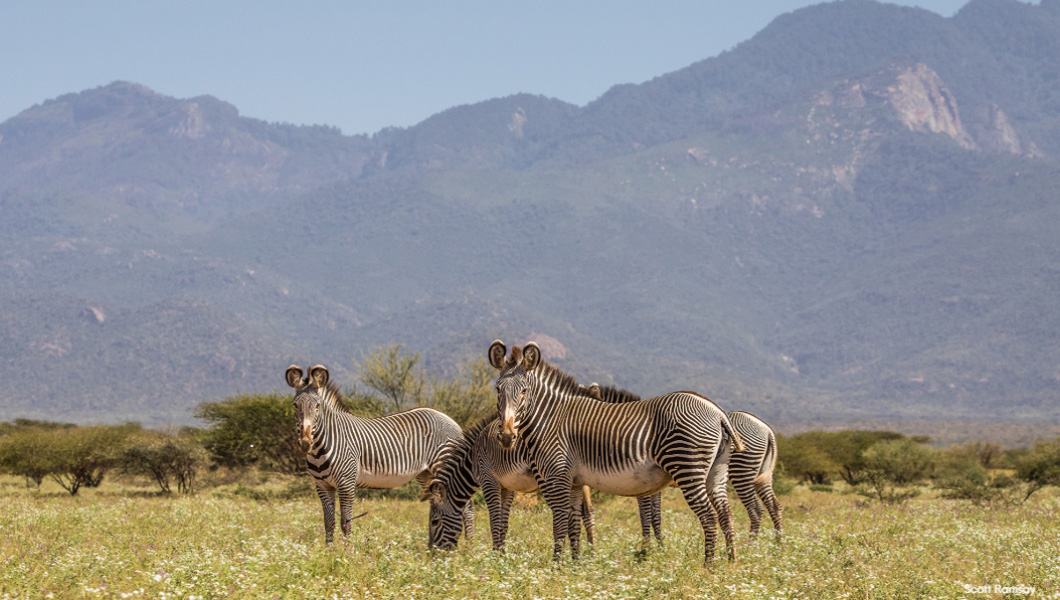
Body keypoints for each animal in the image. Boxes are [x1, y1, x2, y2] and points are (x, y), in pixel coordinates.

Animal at [284, 364, 466, 546]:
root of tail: (452, 421)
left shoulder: (346, 483)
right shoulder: (322, 486)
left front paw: (346, 551)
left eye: (317, 406)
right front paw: (328, 551)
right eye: (295, 405)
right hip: (426, 473)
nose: (305, 443)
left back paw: (467, 545)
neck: (321, 447)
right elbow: (329, 523)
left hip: (444, 466)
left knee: (465, 506)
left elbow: (346, 523)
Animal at [426, 415, 602, 551]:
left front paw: (495, 557)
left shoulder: (488, 481)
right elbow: (503, 524)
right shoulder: (507, 487)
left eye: (434, 521)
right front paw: (502, 556)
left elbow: (495, 523)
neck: (473, 461)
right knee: (587, 512)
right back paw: (588, 556)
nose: (432, 555)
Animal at [489, 343, 746, 563]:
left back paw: (708, 567)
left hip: (688, 467)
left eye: (524, 391)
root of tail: (717, 412)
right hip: (716, 472)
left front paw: (556, 566)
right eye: (498, 390)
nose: (506, 437)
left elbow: (560, 522)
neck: (551, 419)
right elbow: (574, 522)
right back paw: (731, 563)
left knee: (709, 516)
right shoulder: (574, 482)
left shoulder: (556, 476)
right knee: (726, 514)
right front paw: (575, 565)